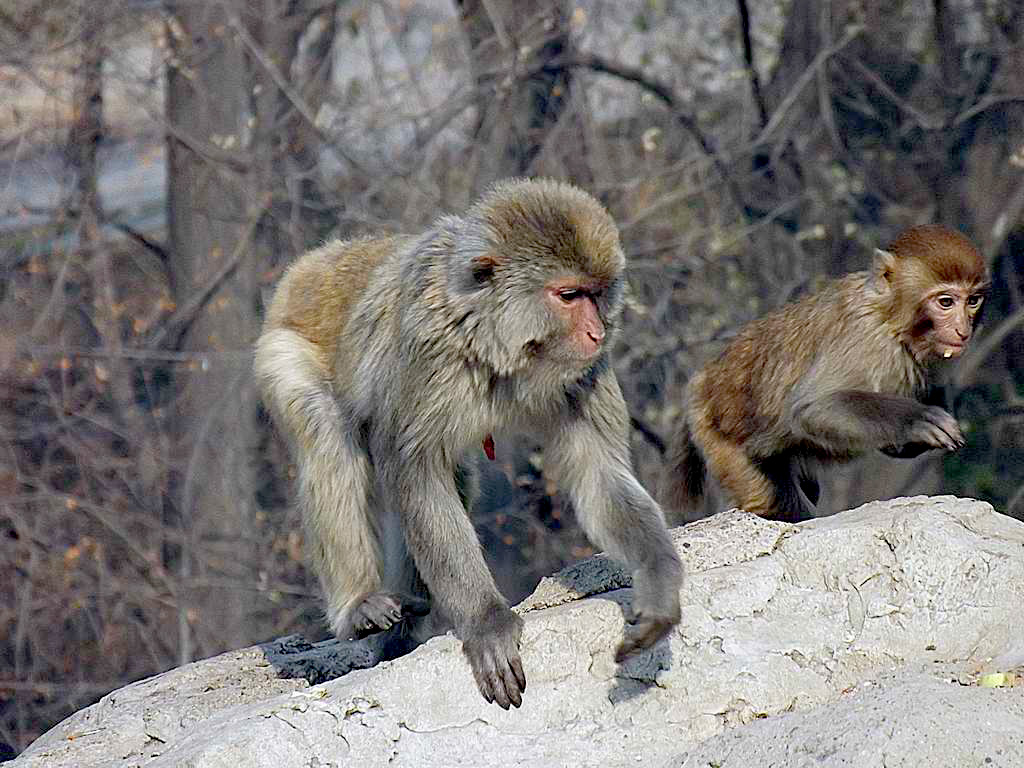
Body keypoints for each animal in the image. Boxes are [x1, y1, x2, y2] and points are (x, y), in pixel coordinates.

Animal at [256, 179, 684, 708]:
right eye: (569, 295)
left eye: (598, 294)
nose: (596, 332)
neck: (494, 342)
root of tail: (316, 261)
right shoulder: (427, 347)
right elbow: (416, 470)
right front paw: (486, 622)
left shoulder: (585, 374)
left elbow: (598, 474)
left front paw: (659, 582)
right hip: (283, 350)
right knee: (328, 438)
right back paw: (359, 606)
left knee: (454, 477)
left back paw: (406, 622)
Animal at [659, 222, 987, 524]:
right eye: (945, 302)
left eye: (973, 301)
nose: (963, 329)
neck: (889, 315)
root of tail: (703, 378)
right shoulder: (865, 341)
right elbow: (812, 408)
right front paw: (914, 420)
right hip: (718, 435)